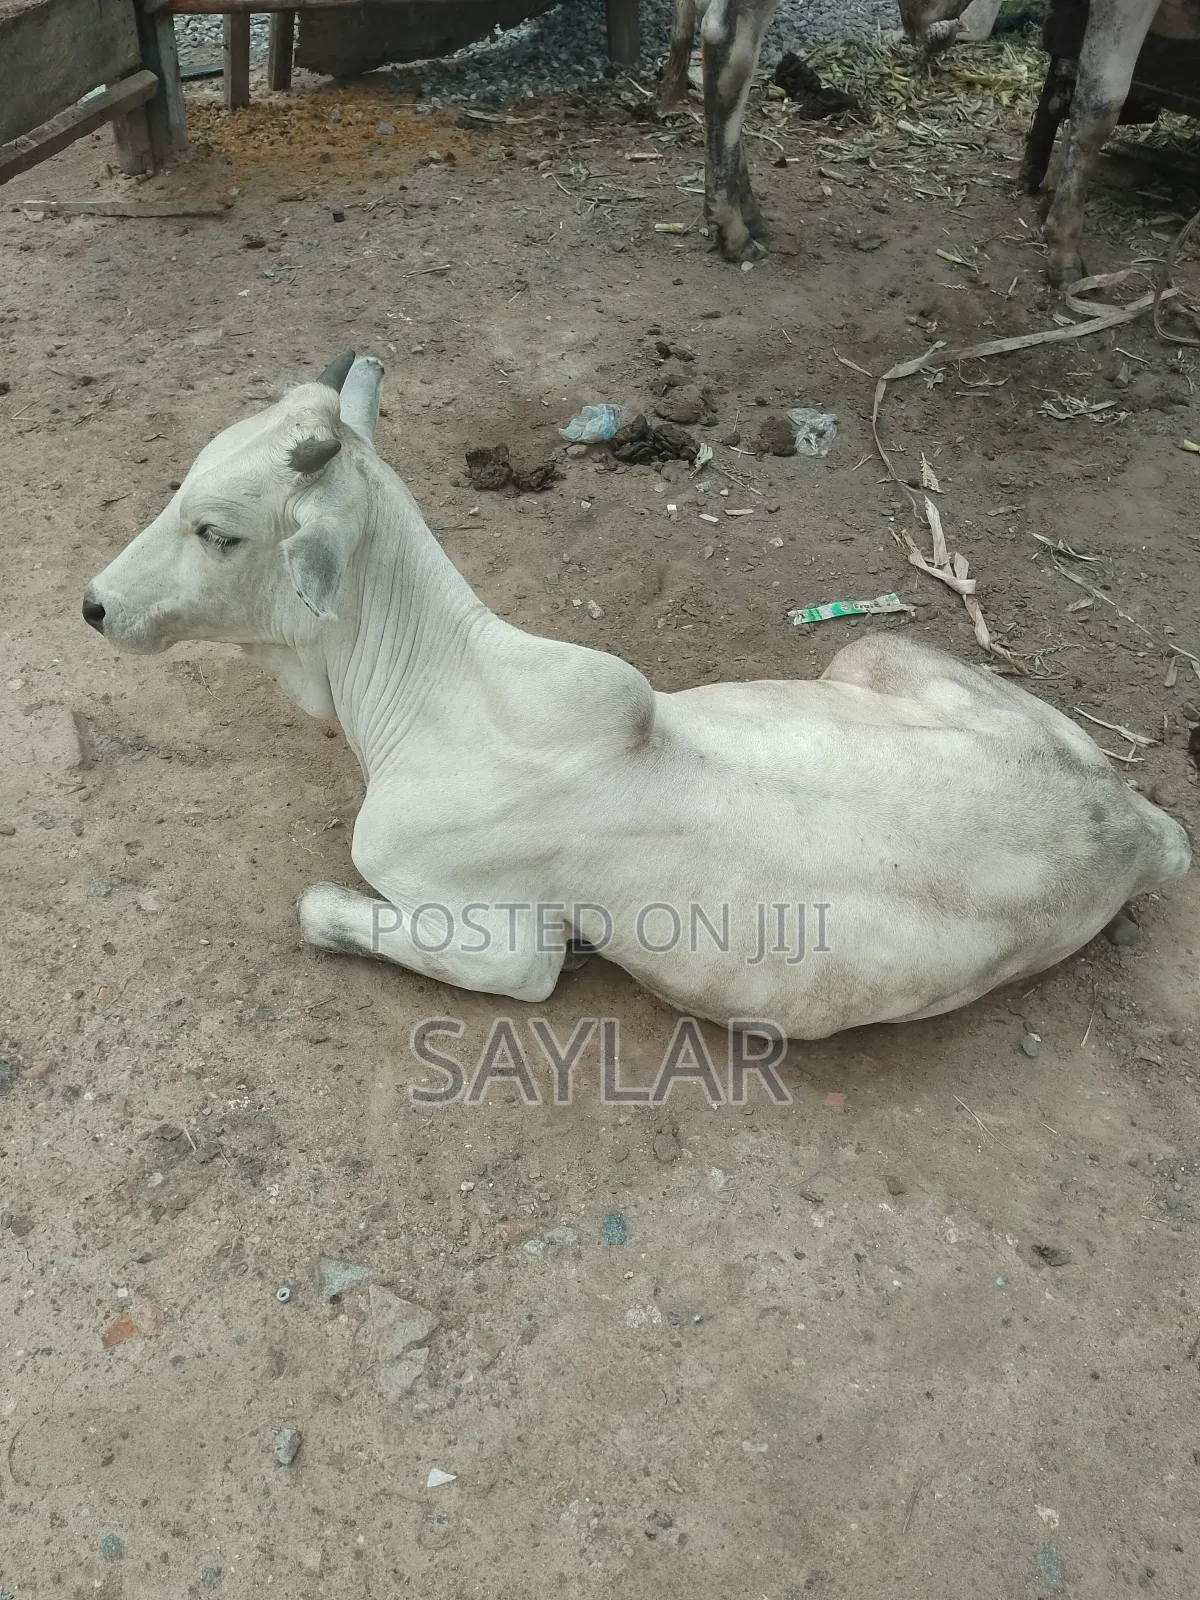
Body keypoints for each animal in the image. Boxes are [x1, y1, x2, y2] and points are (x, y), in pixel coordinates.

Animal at [82, 354, 1190, 1040]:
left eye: (218, 531)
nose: (95, 605)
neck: (436, 696)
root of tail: (1137, 824)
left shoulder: (501, 941)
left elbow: (321, 909)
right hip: (875, 653)